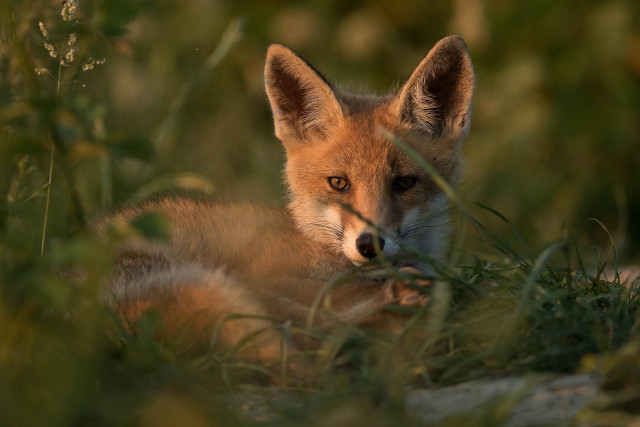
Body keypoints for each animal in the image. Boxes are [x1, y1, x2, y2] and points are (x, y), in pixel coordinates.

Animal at [103, 35, 474, 369]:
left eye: (404, 183)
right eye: (338, 183)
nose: (370, 245)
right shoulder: (272, 275)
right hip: (216, 277)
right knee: (312, 332)